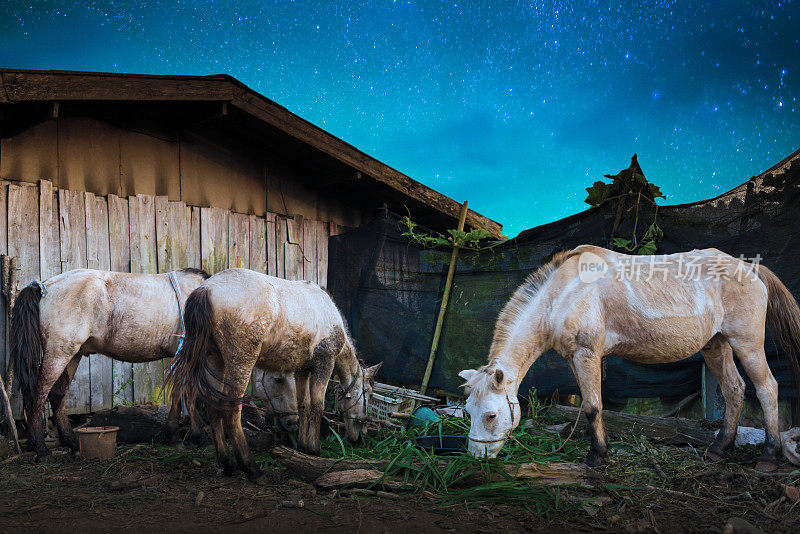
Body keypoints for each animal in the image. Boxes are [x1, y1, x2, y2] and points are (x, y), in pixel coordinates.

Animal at [11, 268, 209, 460]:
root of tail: (44, 286)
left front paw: (177, 436)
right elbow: (189, 395)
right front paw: (192, 437)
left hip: (72, 354)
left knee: (57, 395)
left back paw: (71, 442)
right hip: (58, 354)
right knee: (37, 396)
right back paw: (41, 450)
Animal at [170, 270, 382, 484]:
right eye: (369, 393)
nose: (360, 438)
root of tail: (206, 289)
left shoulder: (302, 369)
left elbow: (303, 405)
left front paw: (302, 447)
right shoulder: (324, 361)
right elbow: (317, 406)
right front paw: (314, 449)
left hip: (215, 360)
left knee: (213, 406)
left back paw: (226, 463)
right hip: (240, 362)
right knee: (231, 411)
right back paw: (251, 467)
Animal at [460, 247, 800, 474]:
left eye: (490, 415)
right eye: (468, 412)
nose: (476, 457)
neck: (562, 294)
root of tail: (750, 268)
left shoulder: (587, 354)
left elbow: (593, 407)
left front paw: (597, 456)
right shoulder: (575, 358)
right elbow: (590, 405)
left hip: (748, 343)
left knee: (767, 388)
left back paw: (768, 456)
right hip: (716, 345)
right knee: (733, 389)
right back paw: (718, 449)